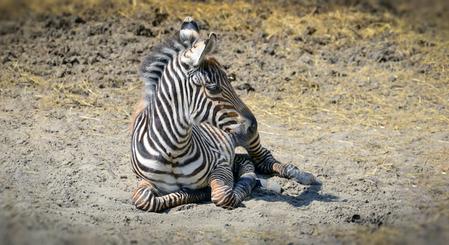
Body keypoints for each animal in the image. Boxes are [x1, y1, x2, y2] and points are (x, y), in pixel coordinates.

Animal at [130, 17, 318, 212]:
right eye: (213, 88)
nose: (253, 126)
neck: (172, 152)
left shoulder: (220, 165)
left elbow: (224, 196)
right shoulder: (144, 180)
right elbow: (142, 198)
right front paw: (195, 193)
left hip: (248, 141)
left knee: (263, 159)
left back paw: (300, 175)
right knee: (245, 159)